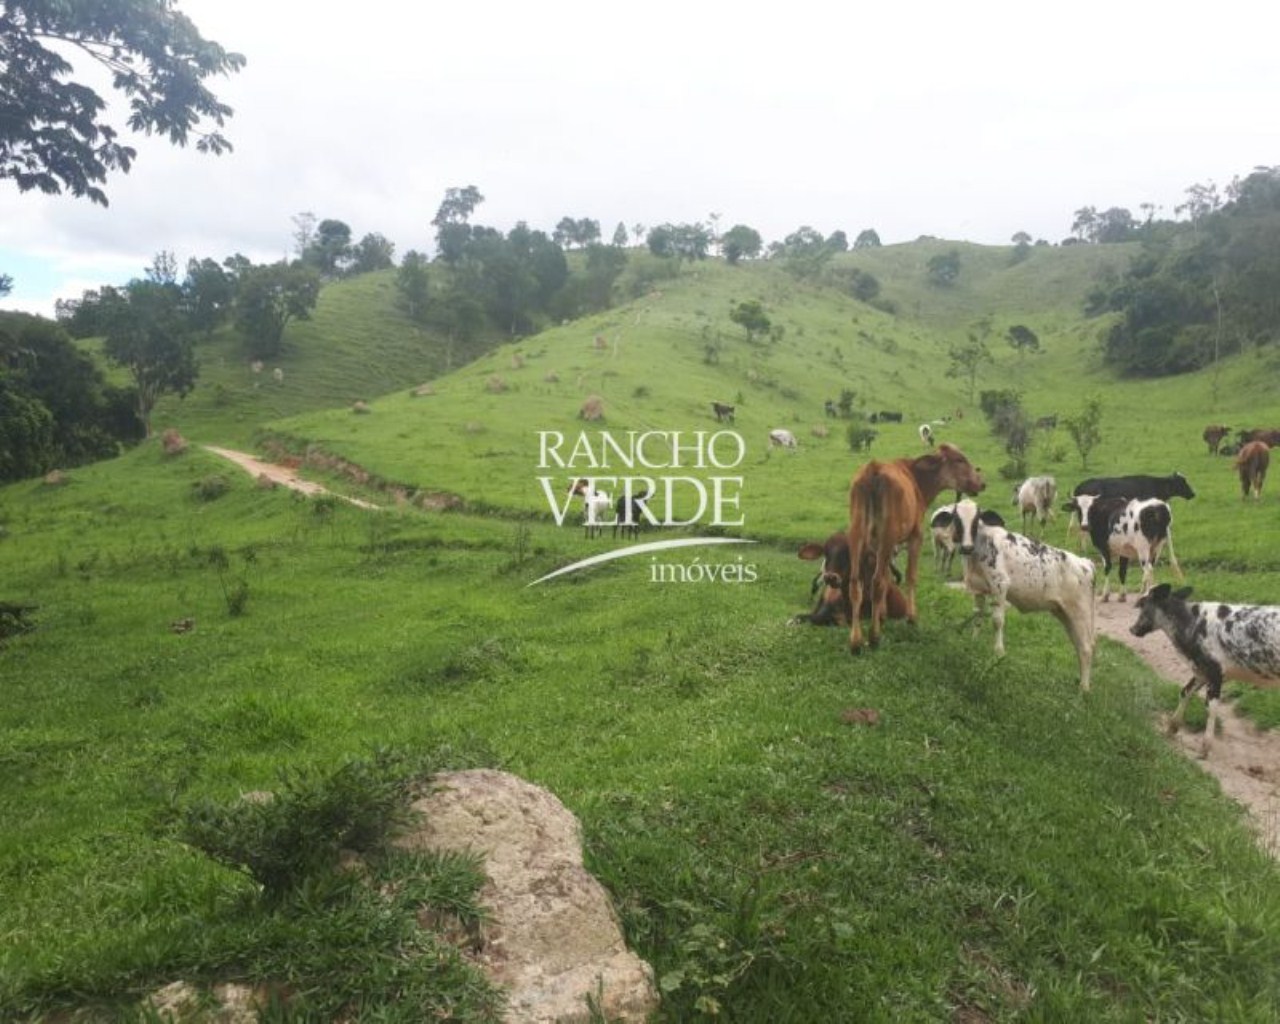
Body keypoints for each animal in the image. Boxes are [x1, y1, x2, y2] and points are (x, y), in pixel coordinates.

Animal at [844, 442, 983, 652]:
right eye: (959, 459)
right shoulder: (916, 535)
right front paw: (911, 617)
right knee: (876, 582)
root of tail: (873, 469)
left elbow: (888, 575)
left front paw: (883, 613)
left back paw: (855, 640)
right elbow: (910, 575)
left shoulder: (877, 544)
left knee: (856, 583)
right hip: (887, 535)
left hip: (857, 532)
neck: (918, 480)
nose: (981, 483)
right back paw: (874, 637)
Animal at [931, 499, 1100, 691]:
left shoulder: (1000, 585)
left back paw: (1084, 689)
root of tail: (1086, 563)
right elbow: (977, 617)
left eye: (976, 520)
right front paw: (973, 643)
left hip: (1080, 612)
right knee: (1078, 644)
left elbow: (997, 621)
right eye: (956, 519)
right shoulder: (978, 590)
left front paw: (999, 653)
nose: (966, 547)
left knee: (1086, 647)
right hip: (1064, 613)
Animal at [1131, 581, 1280, 757]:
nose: (1132, 629)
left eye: (1142, 603)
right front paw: (1171, 727)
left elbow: (1211, 708)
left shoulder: (1214, 671)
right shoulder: (1201, 670)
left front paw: (1205, 747)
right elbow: (1185, 692)